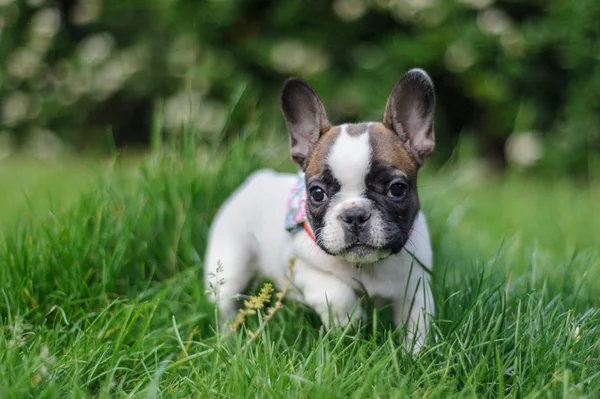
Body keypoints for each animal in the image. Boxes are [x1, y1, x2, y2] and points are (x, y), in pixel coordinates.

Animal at [206, 69, 436, 354]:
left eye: (397, 189)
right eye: (317, 193)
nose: (354, 215)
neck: (365, 266)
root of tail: (258, 179)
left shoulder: (415, 287)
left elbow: (417, 326)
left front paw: (414, 356)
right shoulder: (299, 265)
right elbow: (336, 293)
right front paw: (347, 322)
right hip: (230, 264)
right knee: (226, 305)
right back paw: (228, 342)